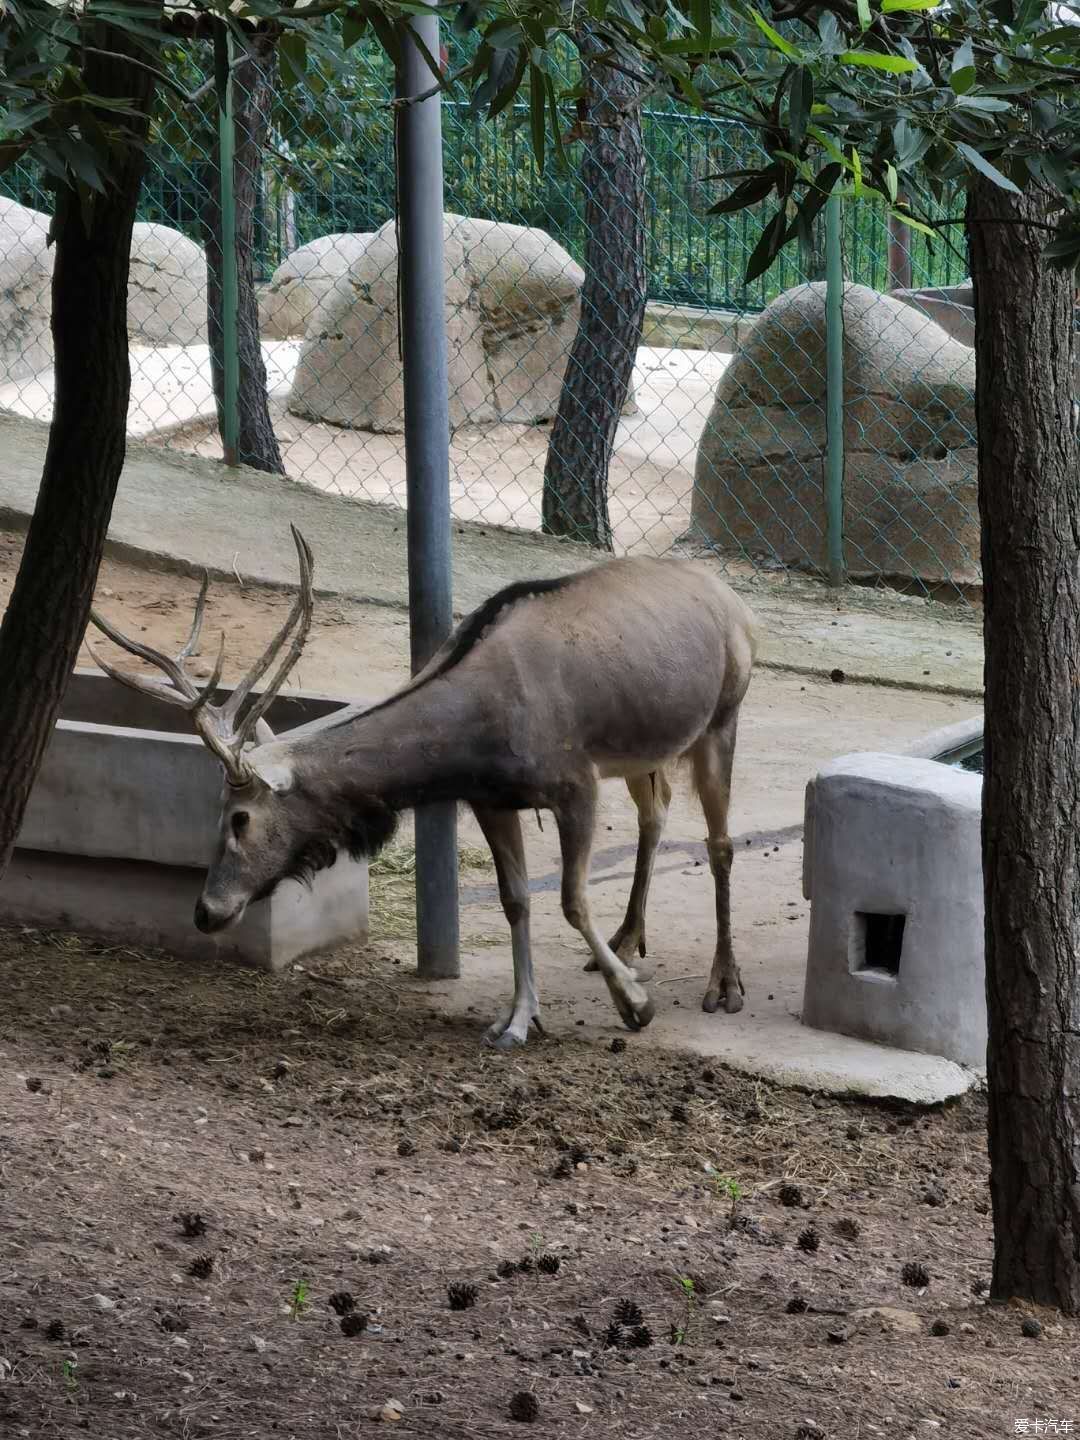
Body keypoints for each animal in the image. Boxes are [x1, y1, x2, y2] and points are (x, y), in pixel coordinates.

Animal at [88, 529, 754, 1048]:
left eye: (239, 817)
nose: (206, 910)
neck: (478, 727)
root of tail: (737, 605)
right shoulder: (490, 799)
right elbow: (516, 900)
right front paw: (517, 1020)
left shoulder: (575, 785)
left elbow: (571, 900)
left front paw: (636, 1005)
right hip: (648, 753)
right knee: (656, 814)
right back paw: (626, 940)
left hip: (721, 719)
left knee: (720, 844)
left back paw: (724, 984)